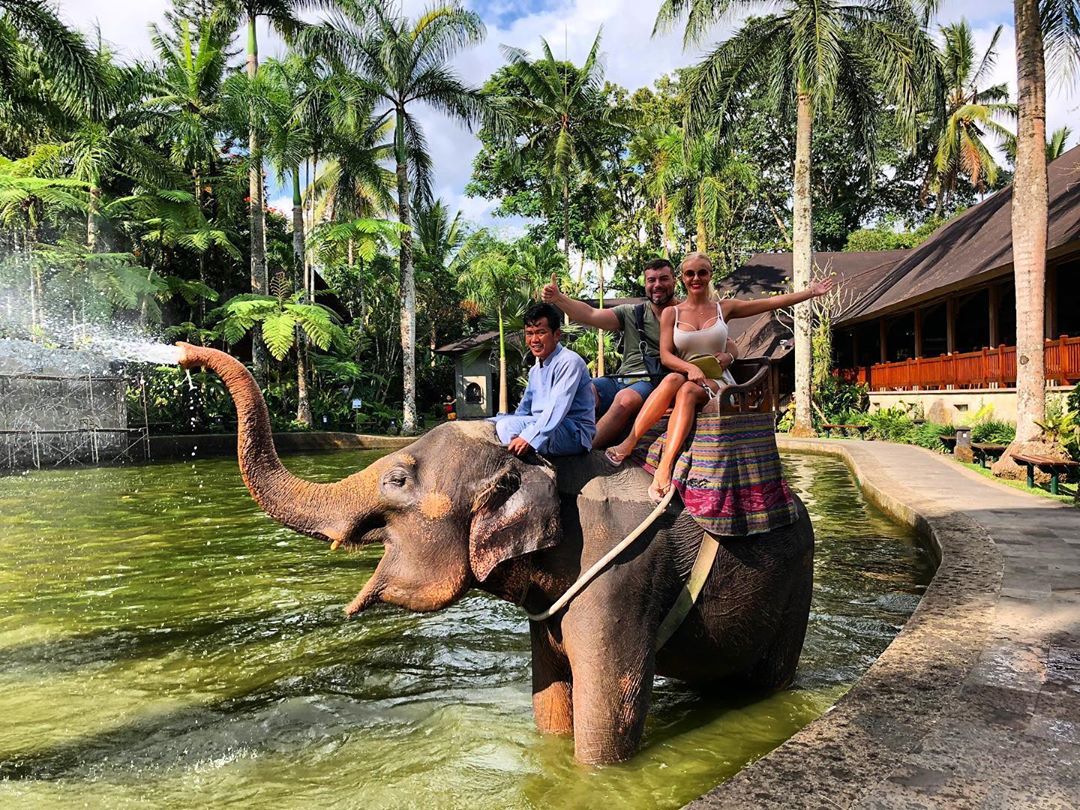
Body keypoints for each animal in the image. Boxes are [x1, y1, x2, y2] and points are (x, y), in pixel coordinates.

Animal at [176, 343, 814, 765]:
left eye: (398, 480)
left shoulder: (622, 578)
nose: (182, 355)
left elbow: (606, 720)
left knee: (770, 677)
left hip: (797, 584)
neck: (543, 465)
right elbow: (550, 700)